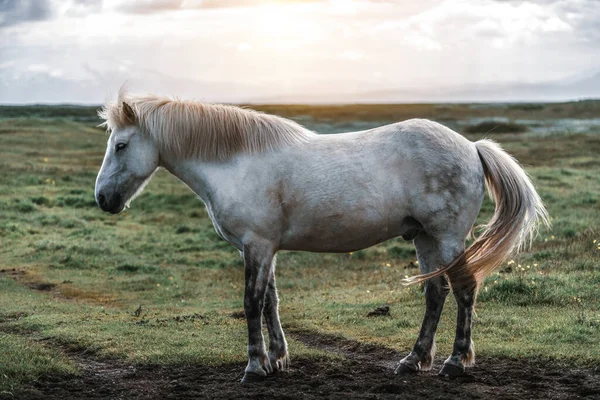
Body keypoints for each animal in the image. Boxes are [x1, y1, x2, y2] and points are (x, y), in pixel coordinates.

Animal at [94, 89, 548, 382]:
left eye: (121, 145)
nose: (103, 199)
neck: (236, 162)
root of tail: (471, 147)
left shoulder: (257, 246)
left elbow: (251, 302)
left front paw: (254, 366)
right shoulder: (262, 248)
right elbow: (271, 300)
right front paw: (278, 359)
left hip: (448, 236)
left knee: (464, 289)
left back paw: (455, 362)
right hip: (424, 238)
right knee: (435, 293)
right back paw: (413, 360)